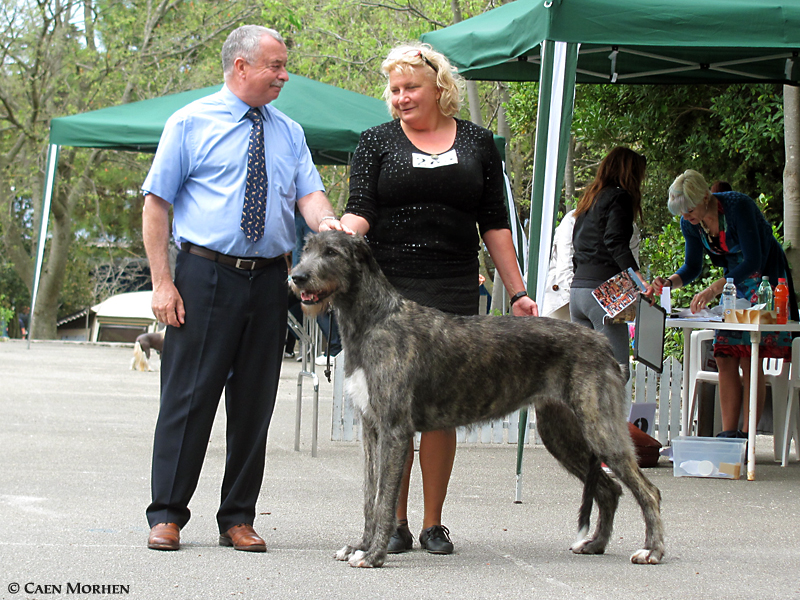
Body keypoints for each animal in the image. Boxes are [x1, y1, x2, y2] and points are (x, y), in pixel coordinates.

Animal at [290, 230, 664, 568]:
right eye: (306, 249)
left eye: (332, 252)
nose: (296, 276)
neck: (375, 320)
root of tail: (602, 343)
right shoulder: (371, 428)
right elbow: (369, 495)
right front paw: (360, 545)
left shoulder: (394, 429)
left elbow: (384, 499)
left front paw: (374, 554)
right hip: (561, 432)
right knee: (610, 489)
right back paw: (595, 544)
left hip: (599, 427)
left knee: (648, 490)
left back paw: (652, 550)